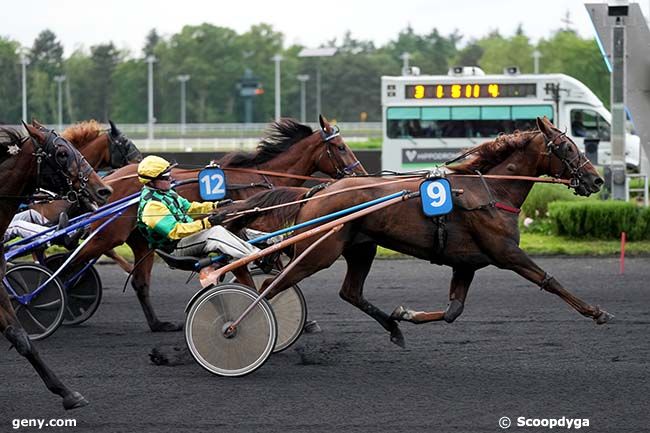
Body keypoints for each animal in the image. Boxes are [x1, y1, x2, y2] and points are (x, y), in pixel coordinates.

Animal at [73, 115, 368, 330]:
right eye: (341, 147)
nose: (360, 174)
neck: (258, 179)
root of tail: (108, 181)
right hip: (108, 235)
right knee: (76, 261)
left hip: (141, 242)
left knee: (140, 282)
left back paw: (158, 324)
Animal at [223, 116, 608, 346]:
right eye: (568, 148)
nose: (597, 180)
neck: (491, 190)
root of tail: (317, 190)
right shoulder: (505, 252)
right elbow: (549, 280)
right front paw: (596, 312)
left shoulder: (466, 262)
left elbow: (453, 311)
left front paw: (403, 314)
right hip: (320, 250)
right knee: (274, 284)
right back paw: (237, 326)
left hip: (361, 247)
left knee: (349, 292)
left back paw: (393, 328)